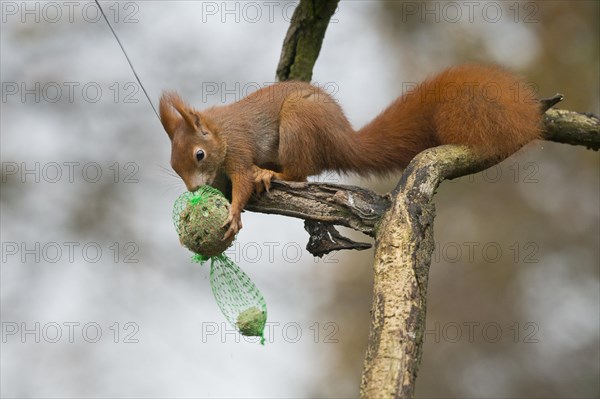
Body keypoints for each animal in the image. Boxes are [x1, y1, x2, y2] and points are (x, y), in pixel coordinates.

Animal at [159, 64, 544, 239]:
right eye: (173, 165)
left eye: (199, 155)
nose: (193, 190)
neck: (219, 131)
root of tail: (341, 138)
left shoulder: (238, 148)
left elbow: (240, 181)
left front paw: (235, 212)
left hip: (300, 121)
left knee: (300, 173)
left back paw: (273, 173)